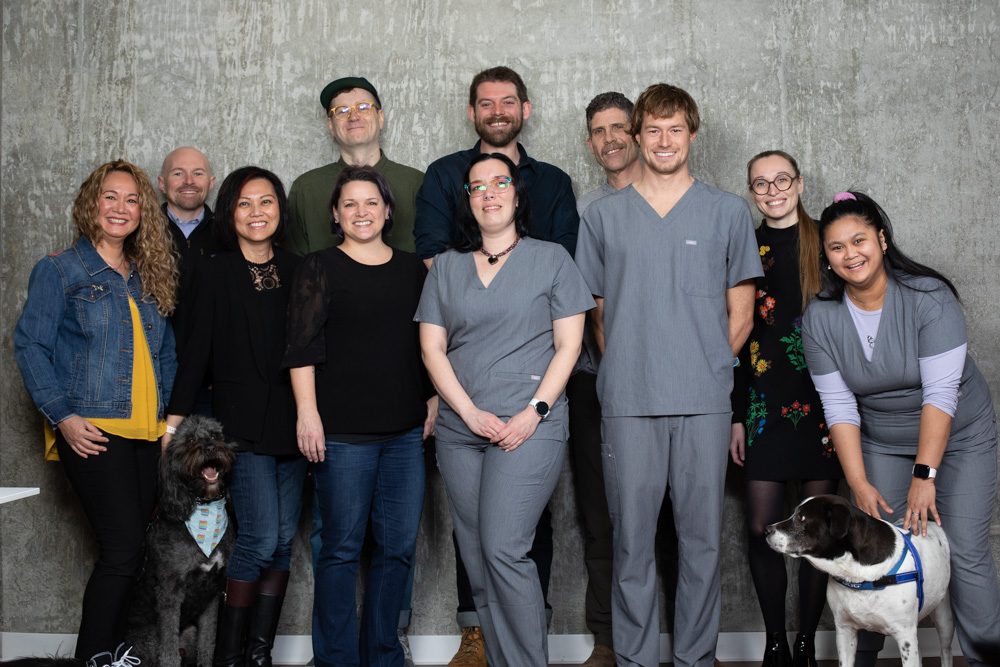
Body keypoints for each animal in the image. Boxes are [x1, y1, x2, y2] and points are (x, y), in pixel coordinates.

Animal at [127, 414, 238, 664]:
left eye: (215, 435)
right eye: (189, 440)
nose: (210, 447)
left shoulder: (212, 594)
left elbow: (208, 643)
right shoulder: (170, 593)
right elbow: (168, 651)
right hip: (147, 642)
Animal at [764, 494, 952, 664]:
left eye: (801, 517)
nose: (766, 529)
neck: (857, 573)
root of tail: (930, 520)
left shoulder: (905, 636)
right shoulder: (844, 630)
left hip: (944, 618)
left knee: (945, 651)